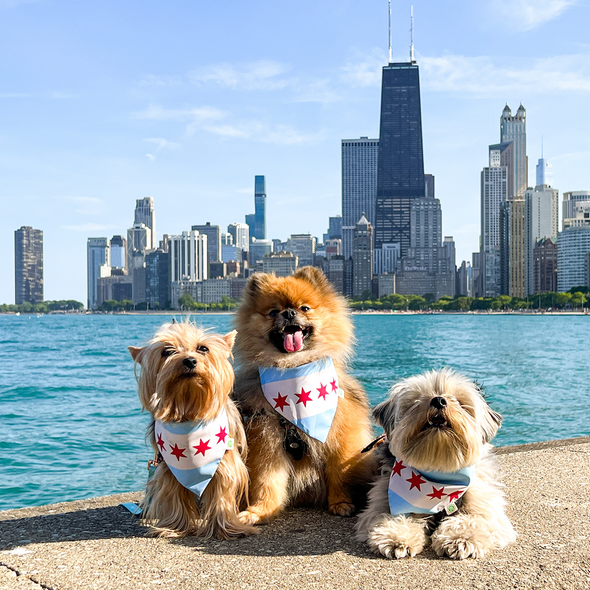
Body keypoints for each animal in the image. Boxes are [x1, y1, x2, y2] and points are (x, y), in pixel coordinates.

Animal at [128, 324, 256, 540]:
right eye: (167, 351)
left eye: (203, 348)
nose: (189, 360)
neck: (189, 409)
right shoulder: (168, 466)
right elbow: (174, 495)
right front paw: (175, 527)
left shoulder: (224, 461)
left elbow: (222, 492)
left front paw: (225, 529)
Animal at [356, 372, 520, 560]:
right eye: (416, 399)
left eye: (460, 401)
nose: (439, 400)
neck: (439, 471)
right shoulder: (383, 500)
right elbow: (391, 516)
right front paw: (397, 536)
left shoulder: (484, 503)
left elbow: (475, 519)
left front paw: (461, 537)